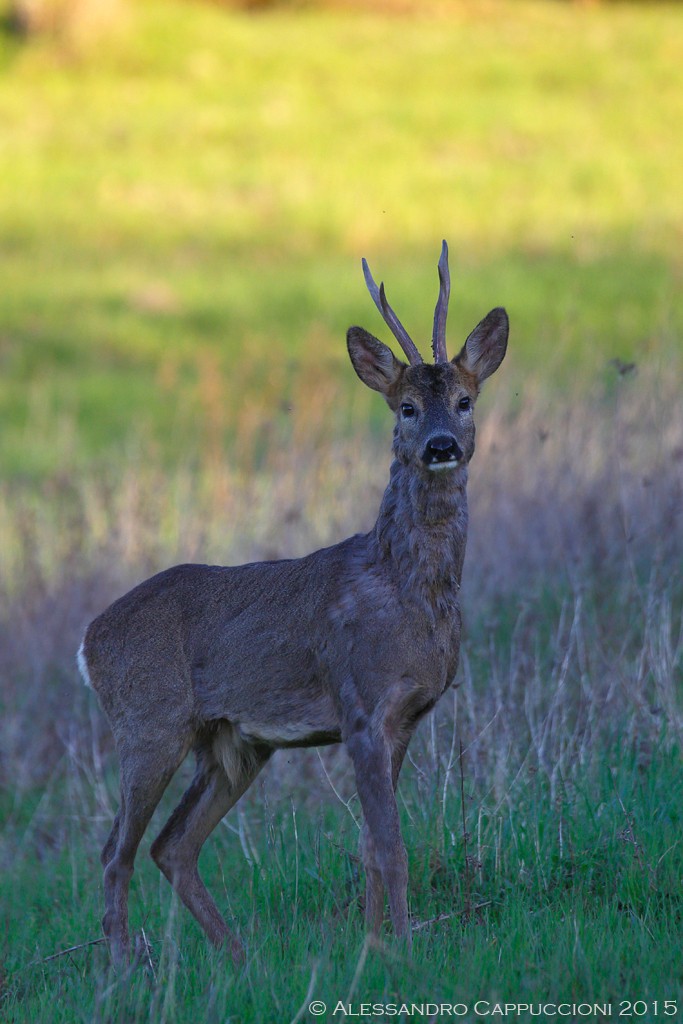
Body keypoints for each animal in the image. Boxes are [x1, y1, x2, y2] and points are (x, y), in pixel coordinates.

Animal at [80, 243, 507, 962]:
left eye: (464, 399)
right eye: (405, 408)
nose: (441, 446)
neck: (408, 594)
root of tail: (88, 642)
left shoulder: (407, 717)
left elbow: (370, 844)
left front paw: (374, 944)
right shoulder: (360, 703)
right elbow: (390, 846)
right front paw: (403, 949)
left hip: (233, 743)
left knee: (172, 845)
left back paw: (237, 958)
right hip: (149, 721)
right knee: (117, 851)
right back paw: (122, 969)